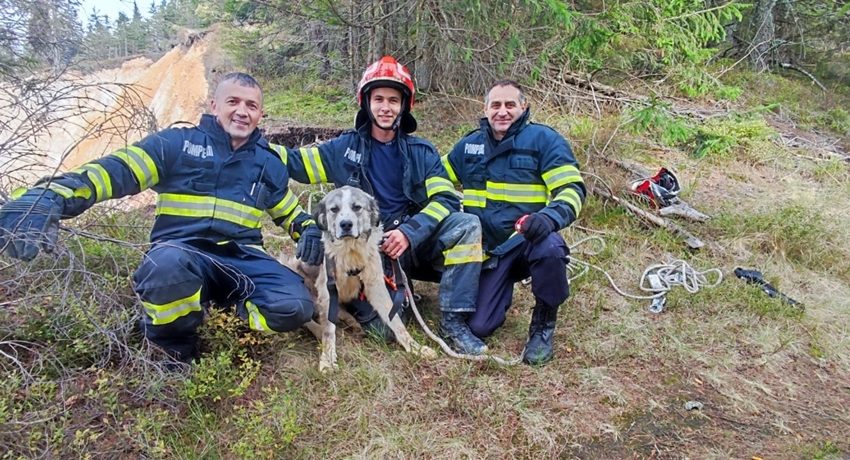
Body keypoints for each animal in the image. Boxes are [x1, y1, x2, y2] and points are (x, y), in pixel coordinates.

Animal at [284, 184, 434, 370]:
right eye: (334, 209)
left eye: (356, 207)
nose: (346, 224)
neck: (351, 250)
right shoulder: (328, 290)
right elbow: (328, 331)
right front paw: (327, 360)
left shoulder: (376, 286)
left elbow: (396, 321)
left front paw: (415, 348)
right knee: (310, 317)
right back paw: (320, 329)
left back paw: (353, 322)